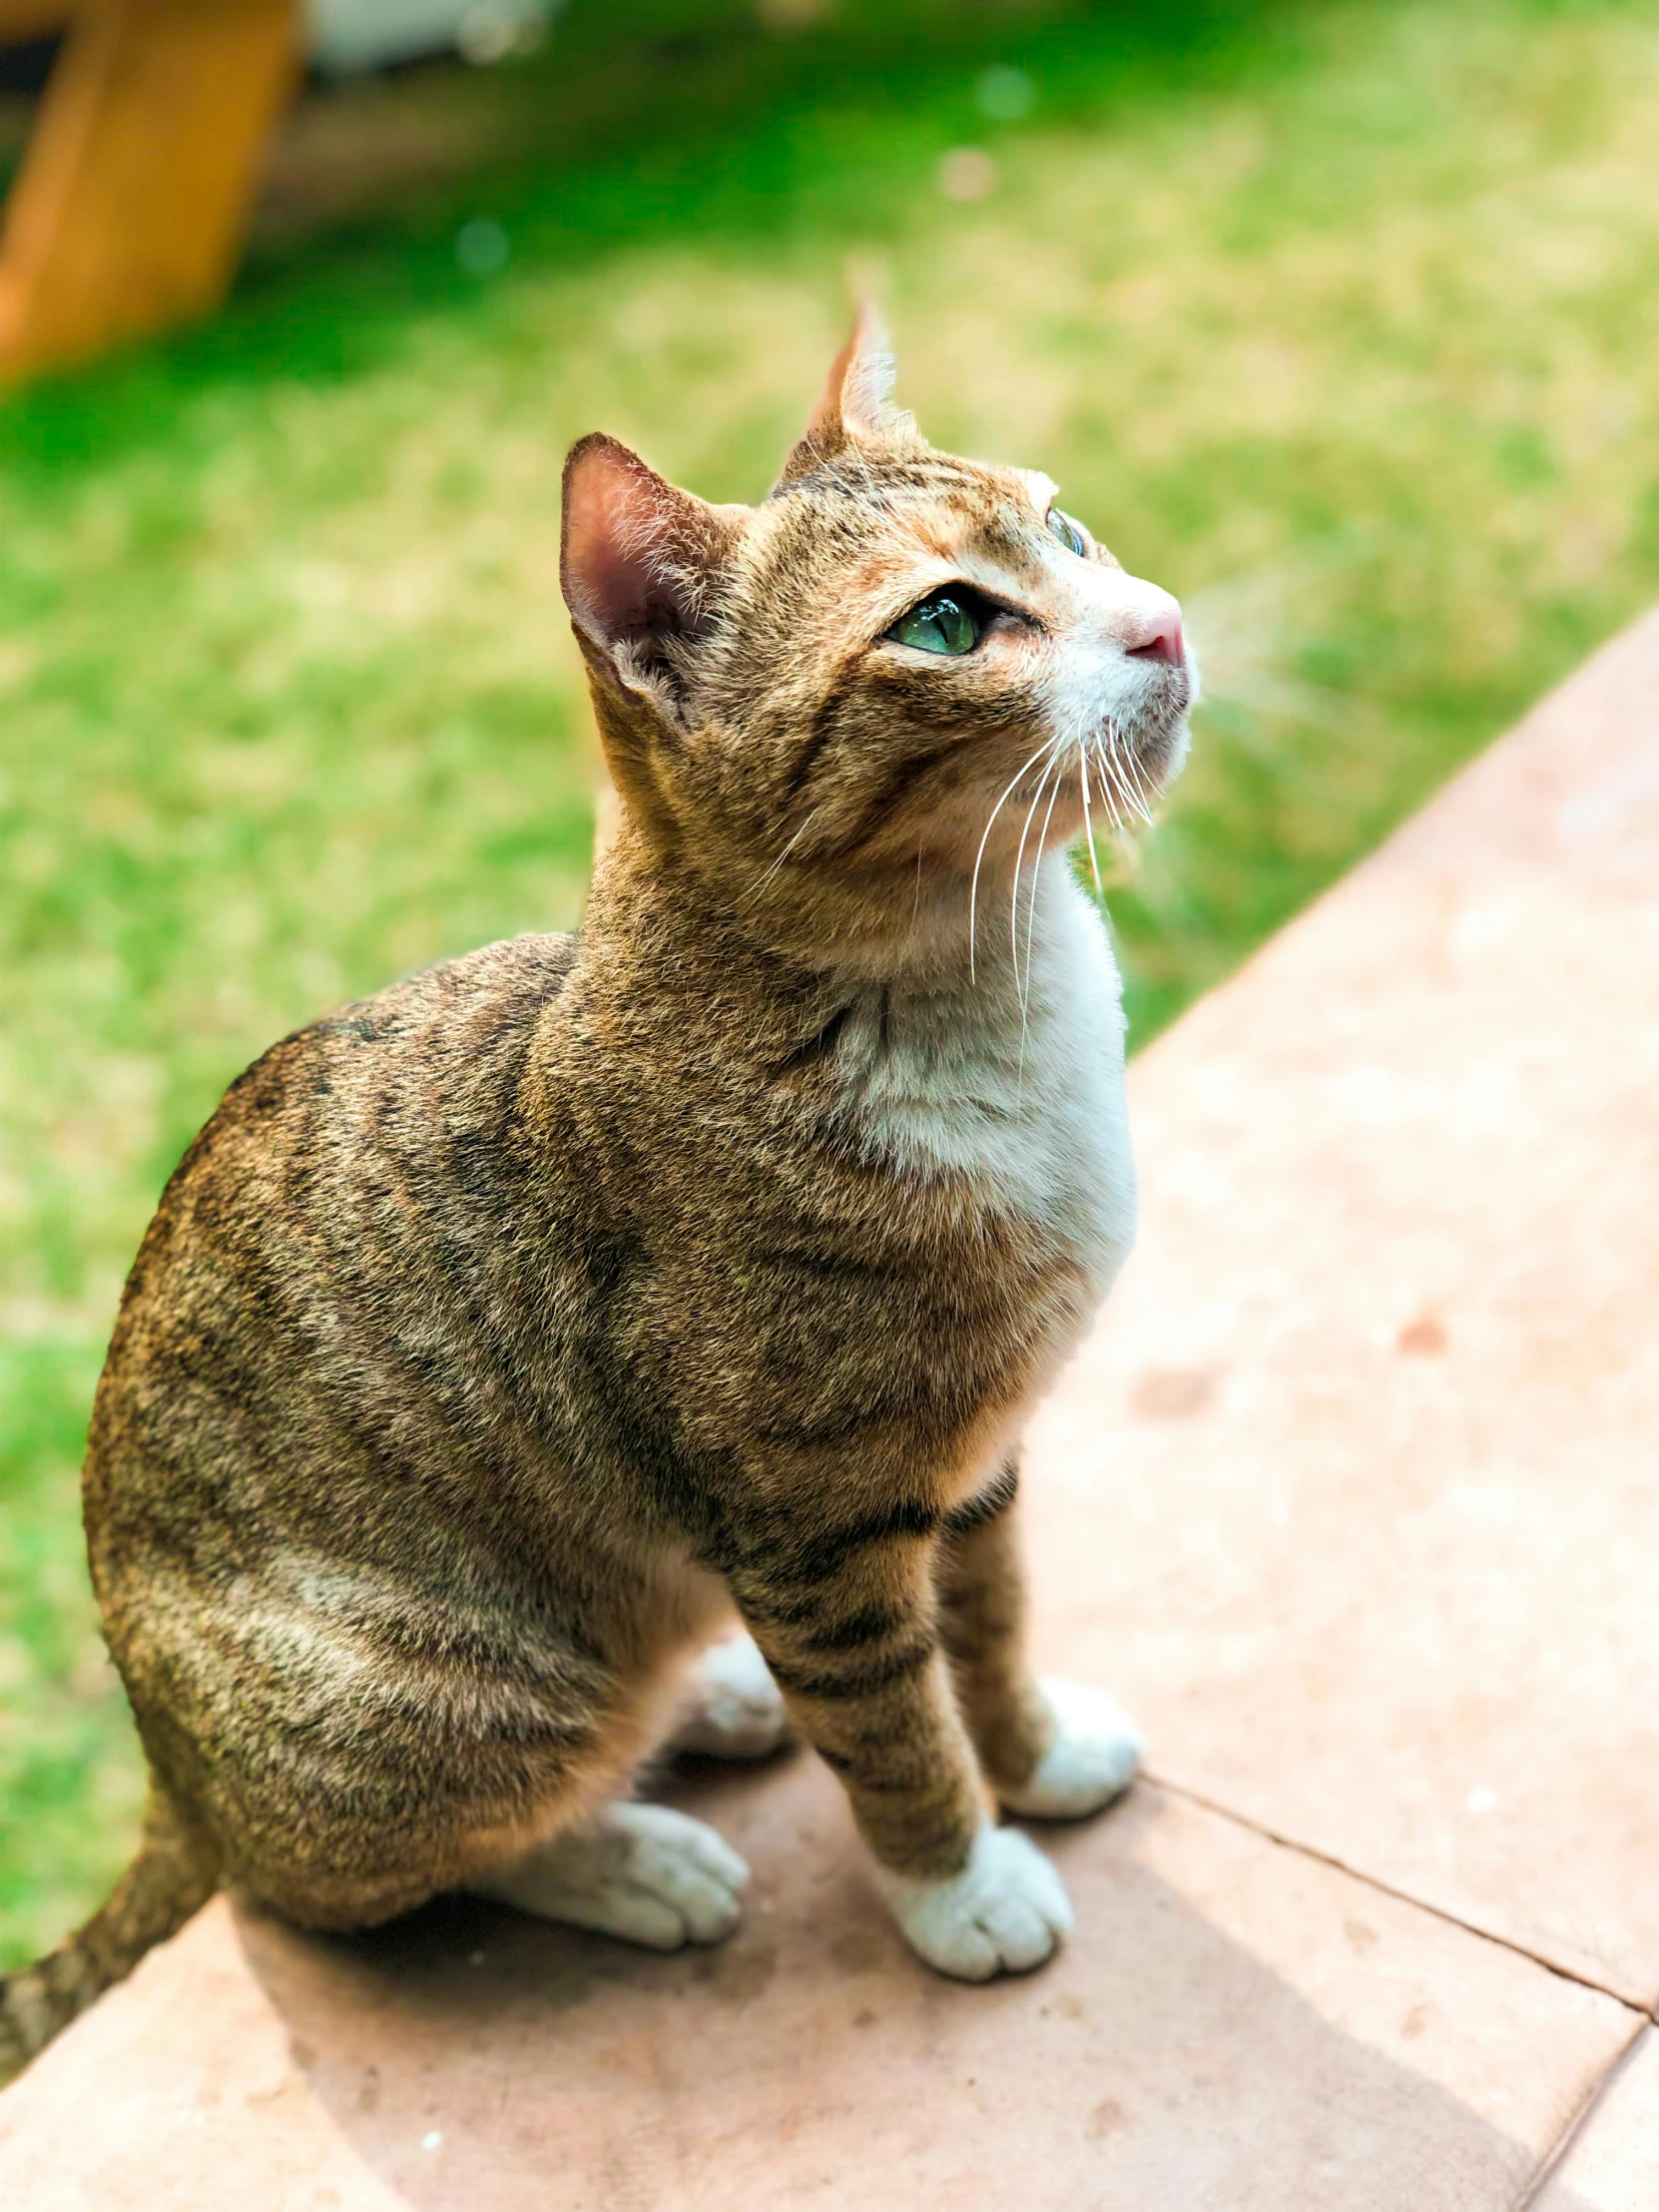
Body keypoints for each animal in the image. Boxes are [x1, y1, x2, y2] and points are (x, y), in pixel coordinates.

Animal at [0, 311, 1194, 2070]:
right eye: (947, 619)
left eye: (1071, 530)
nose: (1163, 622)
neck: (960, 1008)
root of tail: (163, 1770)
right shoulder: (809, 1525)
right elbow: (896, 1736)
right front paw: (960, 1888)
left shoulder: (969, 1464)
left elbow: (985, 1635)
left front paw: (1030, 1758)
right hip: (448, 1689)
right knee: (363, 1879)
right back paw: (638, 1859)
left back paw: (713, 1700)